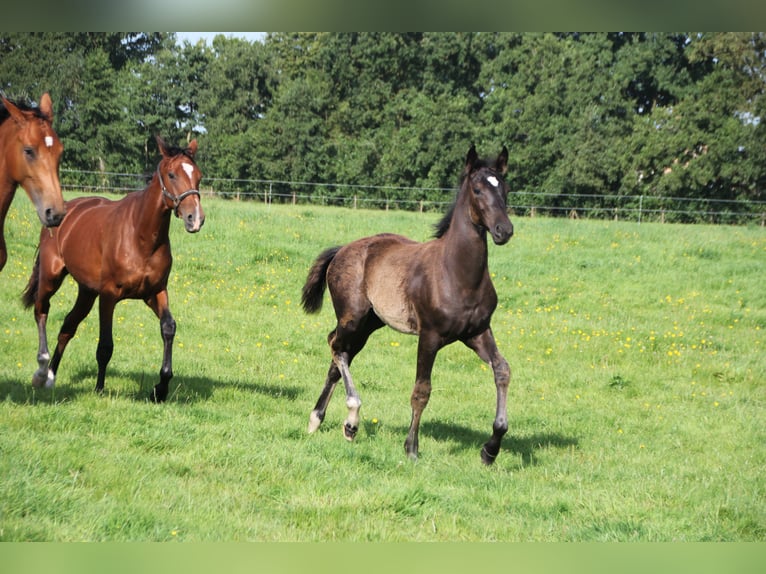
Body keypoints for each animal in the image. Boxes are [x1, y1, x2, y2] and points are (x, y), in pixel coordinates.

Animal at [22, 137, 206, 402]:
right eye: (172, 174)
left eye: (198, 176)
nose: (195, 219)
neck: (140, 236)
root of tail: (61, 212)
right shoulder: (108, 296)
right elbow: (105, 345)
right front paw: (99, 388)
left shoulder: (155, 292)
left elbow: (168, 328)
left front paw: (161, 388)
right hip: (51, 278)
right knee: (42, 311)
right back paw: (41, 371)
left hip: (86, 292)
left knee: (67, 327)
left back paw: (51, 376)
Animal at [302, 146, 516, 466]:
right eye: (477, 190)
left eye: (504, 188)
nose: (504, 230)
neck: (457, 274)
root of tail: (343, 249)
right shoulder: (429, 336)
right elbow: (421, 390)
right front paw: (412, 448)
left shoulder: (477, 333)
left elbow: (502, 370)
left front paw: (490, 450)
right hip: (352, 318)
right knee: (336, 347)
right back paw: (351, 418)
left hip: (370, 323)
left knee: (339, 355)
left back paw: (321, 420)